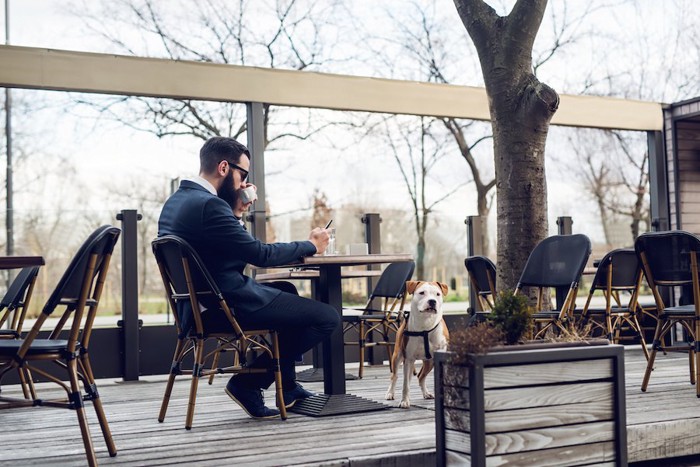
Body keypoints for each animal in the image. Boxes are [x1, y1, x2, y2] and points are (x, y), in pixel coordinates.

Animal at [388, 282, 448, 410]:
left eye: (438, 294)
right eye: (422, 293)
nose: (432, 301)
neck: (425, 324)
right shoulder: (408, 358)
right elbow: (405, 384)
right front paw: (404, 401)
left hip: (429, 362)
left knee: (421, 376)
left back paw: (426, 393)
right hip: (397, 356)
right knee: (395, 376)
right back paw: (390, 393)